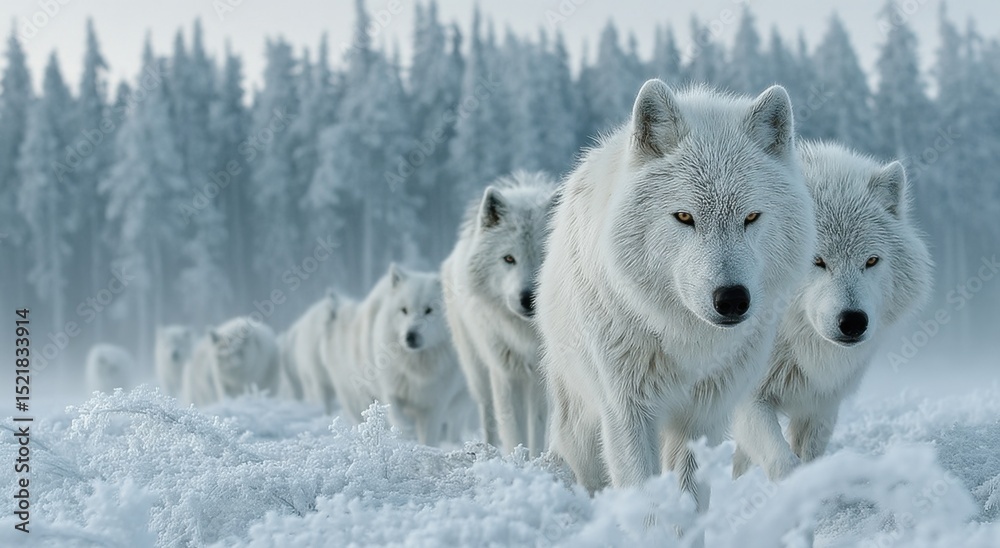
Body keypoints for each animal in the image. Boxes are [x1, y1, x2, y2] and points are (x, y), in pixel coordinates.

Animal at [372, 264, 468, 446]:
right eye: (404, 310)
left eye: (429, 310)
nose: (410, 336)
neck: (416, 366)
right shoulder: (392, 391)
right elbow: (398, 417)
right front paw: (406, 434)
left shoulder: (434, 407)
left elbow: (428, 438)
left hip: (459, 404)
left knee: (455, 426)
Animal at [441, 171, 558, 456]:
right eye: (508, 259)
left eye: (543, 257)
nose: (528, 299)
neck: (525, 334)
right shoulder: (505, 374)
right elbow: (514, 429)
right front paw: (517, 458)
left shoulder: (539, 376)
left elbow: (538, 428)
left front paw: (533, 460)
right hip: (478, 372)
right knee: (488, 415)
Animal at [537, 79, 816, 516]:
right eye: (684, 217)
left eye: (752, 217)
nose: (732, 299)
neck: (686, 341)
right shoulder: (628, 412)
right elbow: (648, 502)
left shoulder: (703, 418)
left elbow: (688, 501)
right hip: (581, 415)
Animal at [731, 141, 933, 481]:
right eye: (816, 260)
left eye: (871, 261)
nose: (853, 321)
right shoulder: (749, 398)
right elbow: (782, 461)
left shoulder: (821, 404)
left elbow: (810, 457)